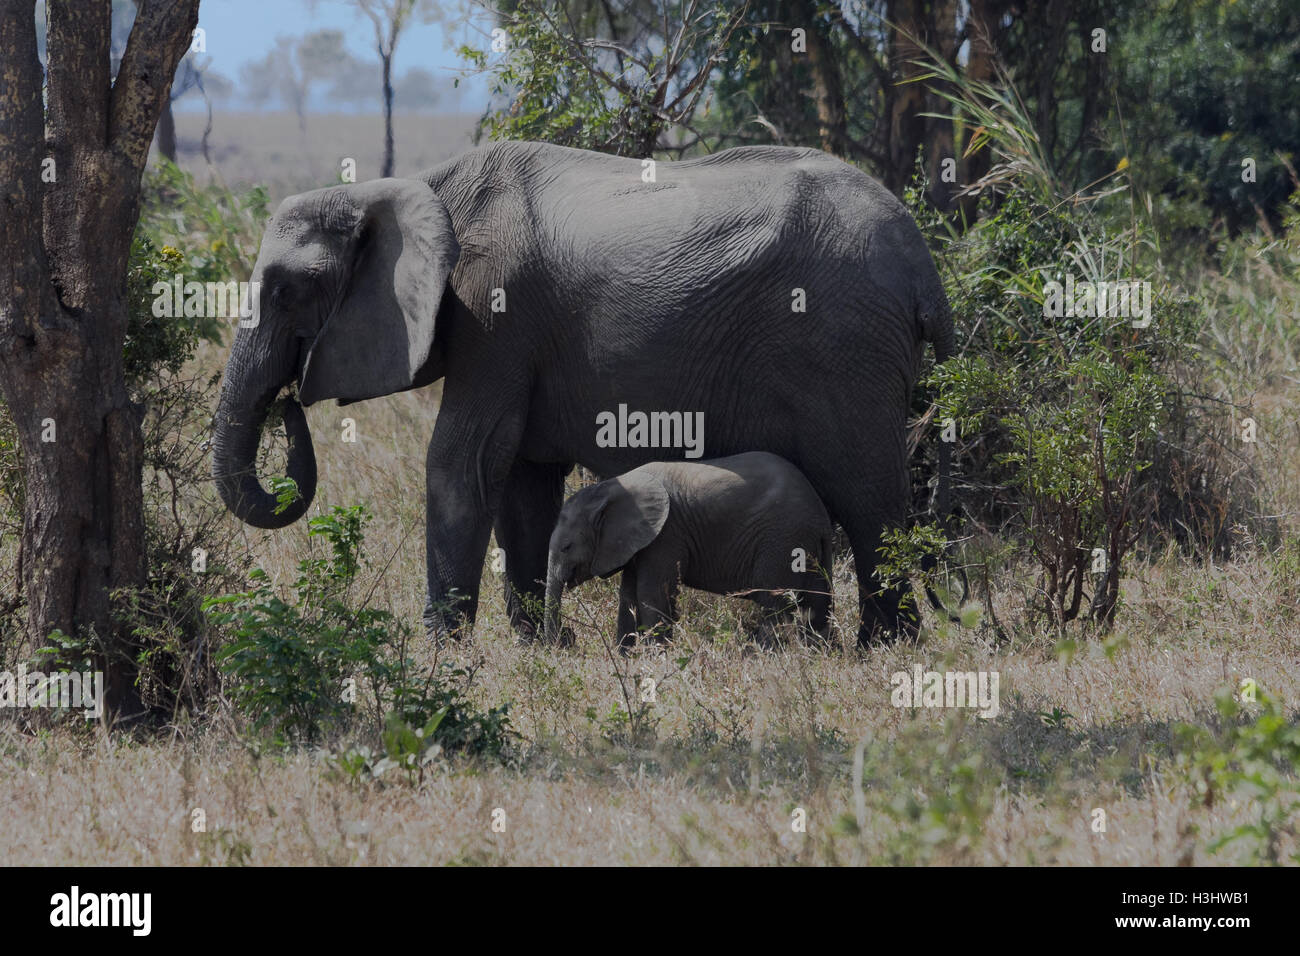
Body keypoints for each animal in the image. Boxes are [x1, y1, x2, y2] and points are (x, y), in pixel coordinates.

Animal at [542, 452, 836, 648]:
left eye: (567, 547)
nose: (568, 637)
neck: (611, 488)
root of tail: (821, 515)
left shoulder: (666, 535)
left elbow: (651, 593)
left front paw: (655, 657)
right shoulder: (638, 541)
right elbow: (628, 595)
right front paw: (626, 656)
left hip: (781, 539)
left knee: (775, 606)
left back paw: (758, 656)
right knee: (817, 603)